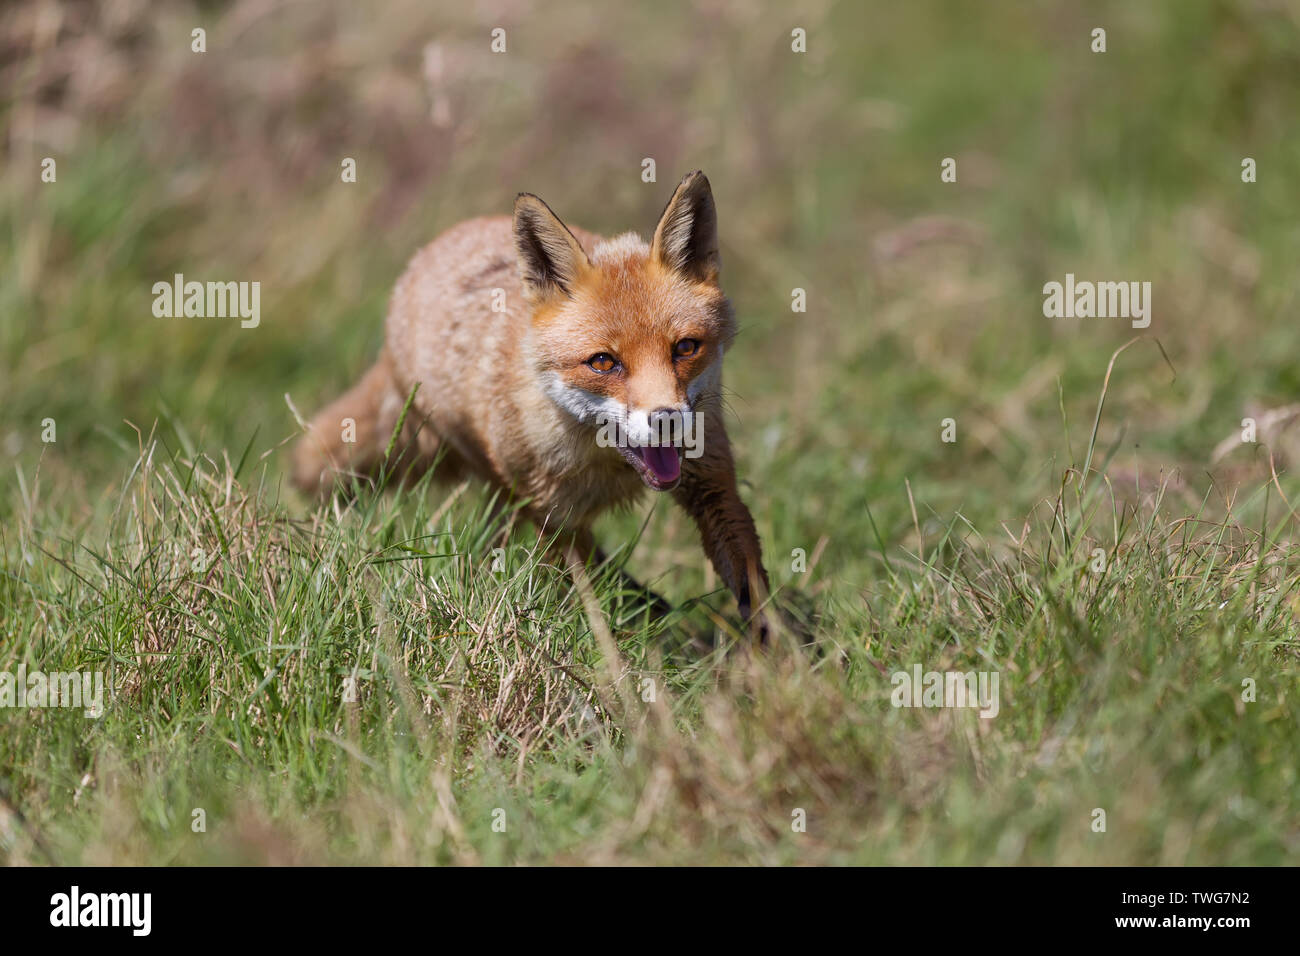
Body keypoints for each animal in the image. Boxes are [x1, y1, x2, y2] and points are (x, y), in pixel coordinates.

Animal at [289, 171, 764, 634]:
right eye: (603, 362)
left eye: (685, 348)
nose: (667, 420)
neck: (607, 465)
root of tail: (431, 250)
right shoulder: (550, 514)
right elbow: (594, 596)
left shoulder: (711, 478)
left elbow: (751, 580)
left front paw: (770, 646)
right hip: (499, 478)